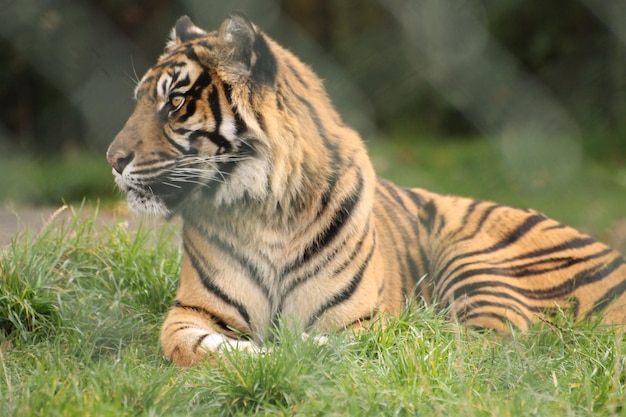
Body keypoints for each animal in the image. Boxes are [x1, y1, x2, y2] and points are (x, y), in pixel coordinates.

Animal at [106, 13, 624, 366]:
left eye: (175, 102)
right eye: (139, 102)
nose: (112, 159)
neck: (263, 209)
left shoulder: (357, 317)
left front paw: (296, 347)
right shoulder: (190, 311)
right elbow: (200, 345)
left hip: (477, 260)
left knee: (474, 341)